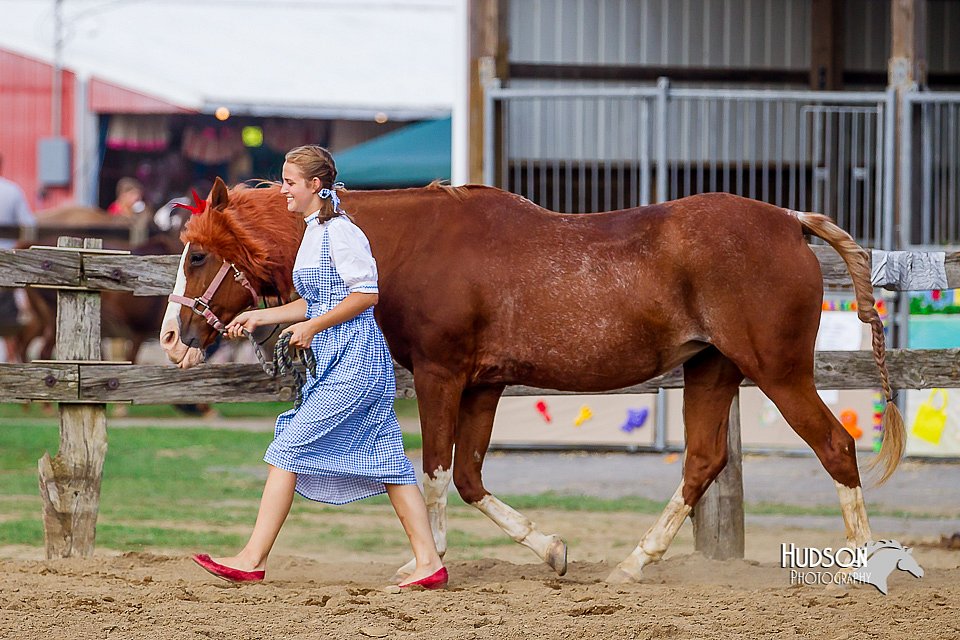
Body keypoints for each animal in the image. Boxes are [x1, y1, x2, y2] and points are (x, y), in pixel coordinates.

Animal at [161, 178, 904, 584]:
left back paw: (861, 568)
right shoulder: (484, 384)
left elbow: (433, 475)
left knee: (835, 447)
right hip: (711, 369)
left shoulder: (442, 374)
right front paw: (552, 551)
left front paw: (429, 564)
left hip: (777, 370)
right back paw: (631, 566)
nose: (173, 337)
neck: (409, 245)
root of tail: (792, 223)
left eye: (197, 256)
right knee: (702, 460)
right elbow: (468, 478)